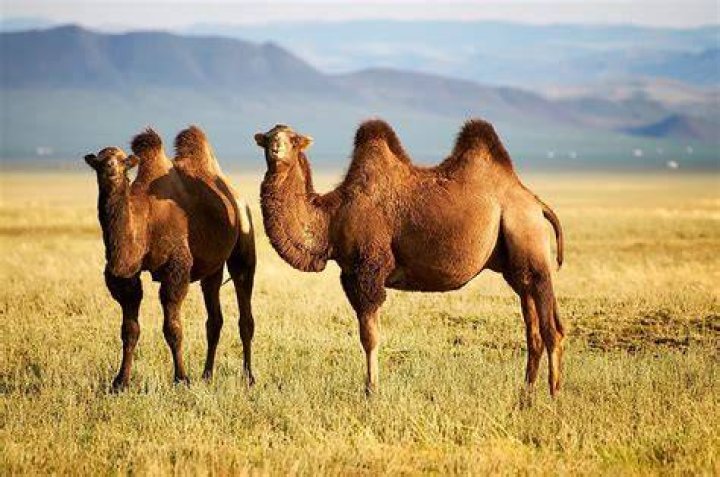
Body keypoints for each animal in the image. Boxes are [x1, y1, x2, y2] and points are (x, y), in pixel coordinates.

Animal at [84, 126, 256, 391]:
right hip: (212, 267)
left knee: (245, 311)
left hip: (244, 244)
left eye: (123, 162)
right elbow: (129, 330)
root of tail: (236, 196)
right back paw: (207, 375)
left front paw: (181, 379)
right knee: (214, 319)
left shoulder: (176, 268)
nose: (111, 168)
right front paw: (120, 382)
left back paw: (248, 377)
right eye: (100, 161)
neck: (144, 218)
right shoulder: (127, 276)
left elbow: (173, 328)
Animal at [254, 119, 565, 397]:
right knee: (533, 329)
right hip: (516, 266)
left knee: (552, 329)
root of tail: (536, 204)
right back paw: (526, 395)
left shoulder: (368, 270)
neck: (332, 216)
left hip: (527, 237)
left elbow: (369, 337)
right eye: (267, 137)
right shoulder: (350, 274)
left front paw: (371, 391)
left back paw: (552, 395)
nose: (276, 149)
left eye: (294, 139)